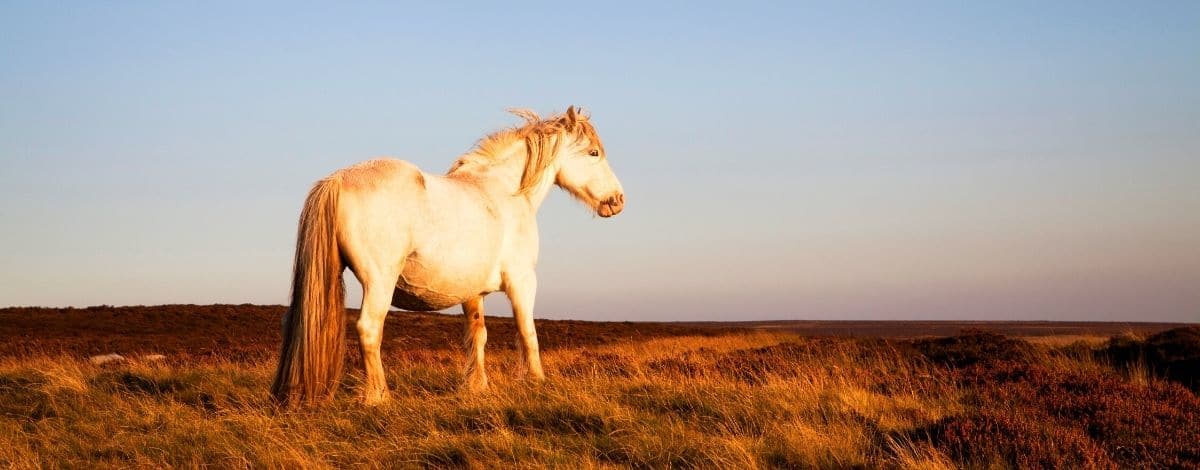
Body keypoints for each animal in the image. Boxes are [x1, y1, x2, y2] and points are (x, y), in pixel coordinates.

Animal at [273, 106, 628, 402]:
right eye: (594, 152)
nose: (618, 200)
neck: (503, 192)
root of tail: (337, 179)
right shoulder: (522, 281)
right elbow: (528, 333)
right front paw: (537, 381)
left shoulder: (473, 294)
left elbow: (478, 335)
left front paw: (477, 386)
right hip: (379, 283)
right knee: (369, 329)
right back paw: (379, 397)